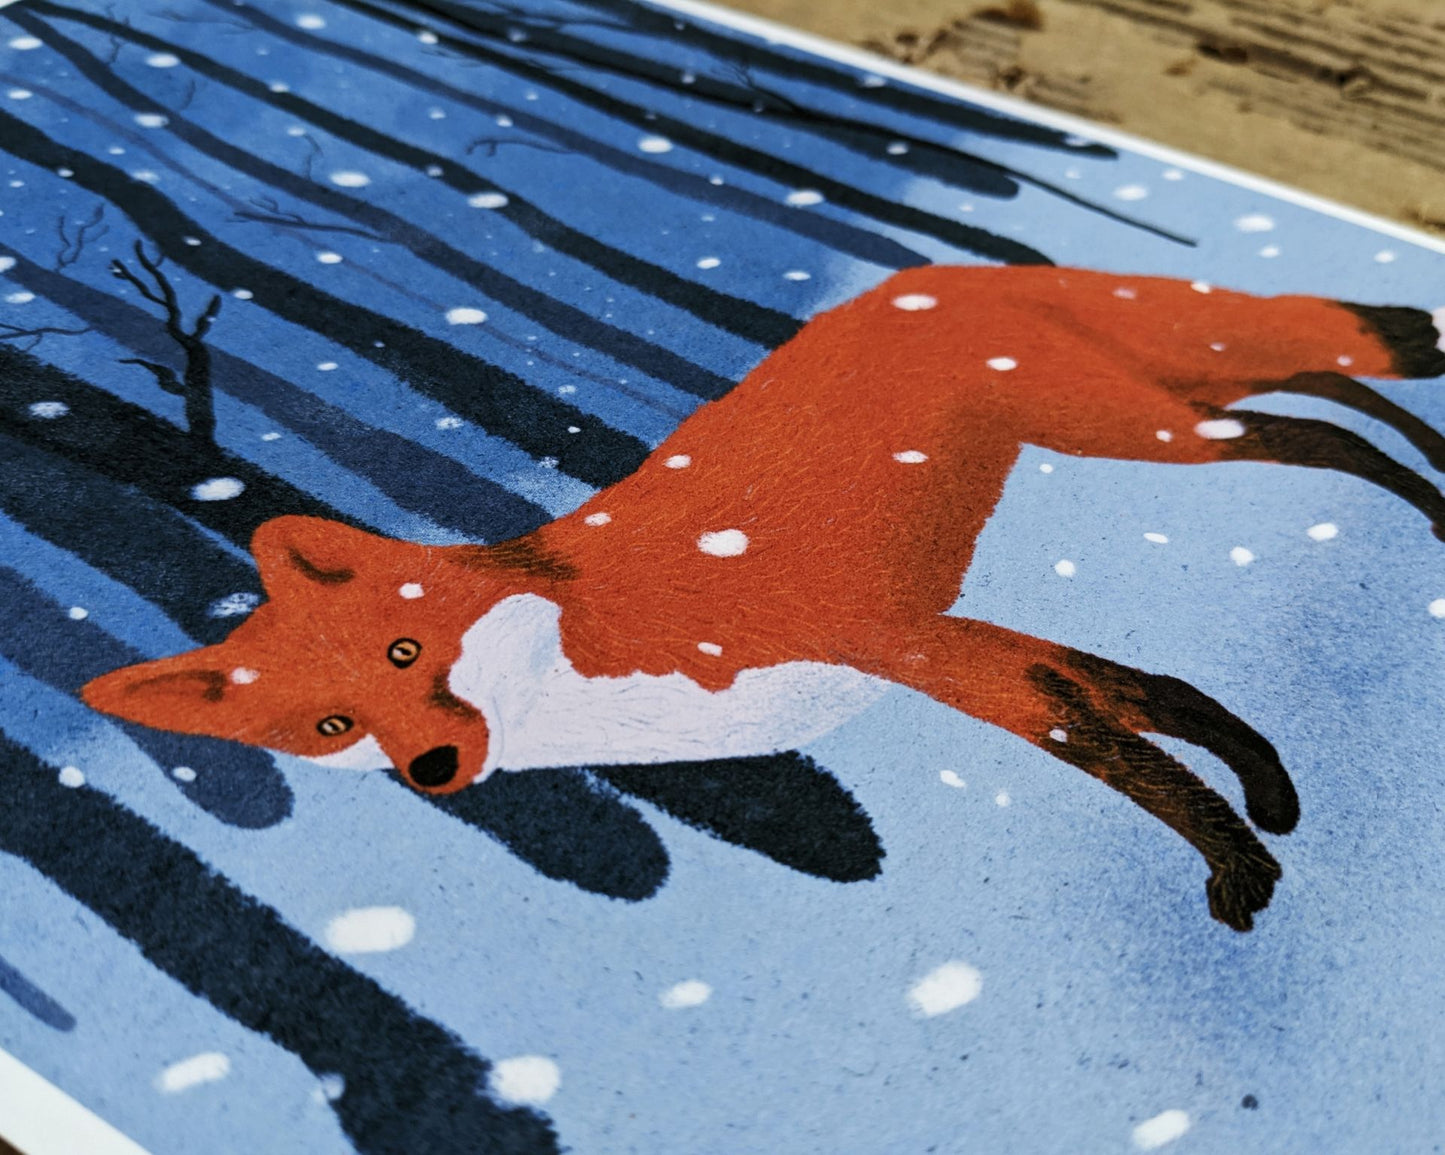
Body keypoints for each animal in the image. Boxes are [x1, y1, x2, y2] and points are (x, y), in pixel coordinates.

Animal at [83, 265, 1445, 932]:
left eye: (409, 651)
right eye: (329, 725)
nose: (433, 767)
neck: (593, 658)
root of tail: (930, 271)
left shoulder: (903, 641)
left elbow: (1114, 740)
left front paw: (1239, 861)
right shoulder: (935, 643)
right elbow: (1143, 697)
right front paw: (1265, 805)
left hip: (1134, 427)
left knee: (1321, 416)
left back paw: (1426, 493)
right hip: (1149, 415)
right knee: (1320, 400)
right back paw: (1431, 478)